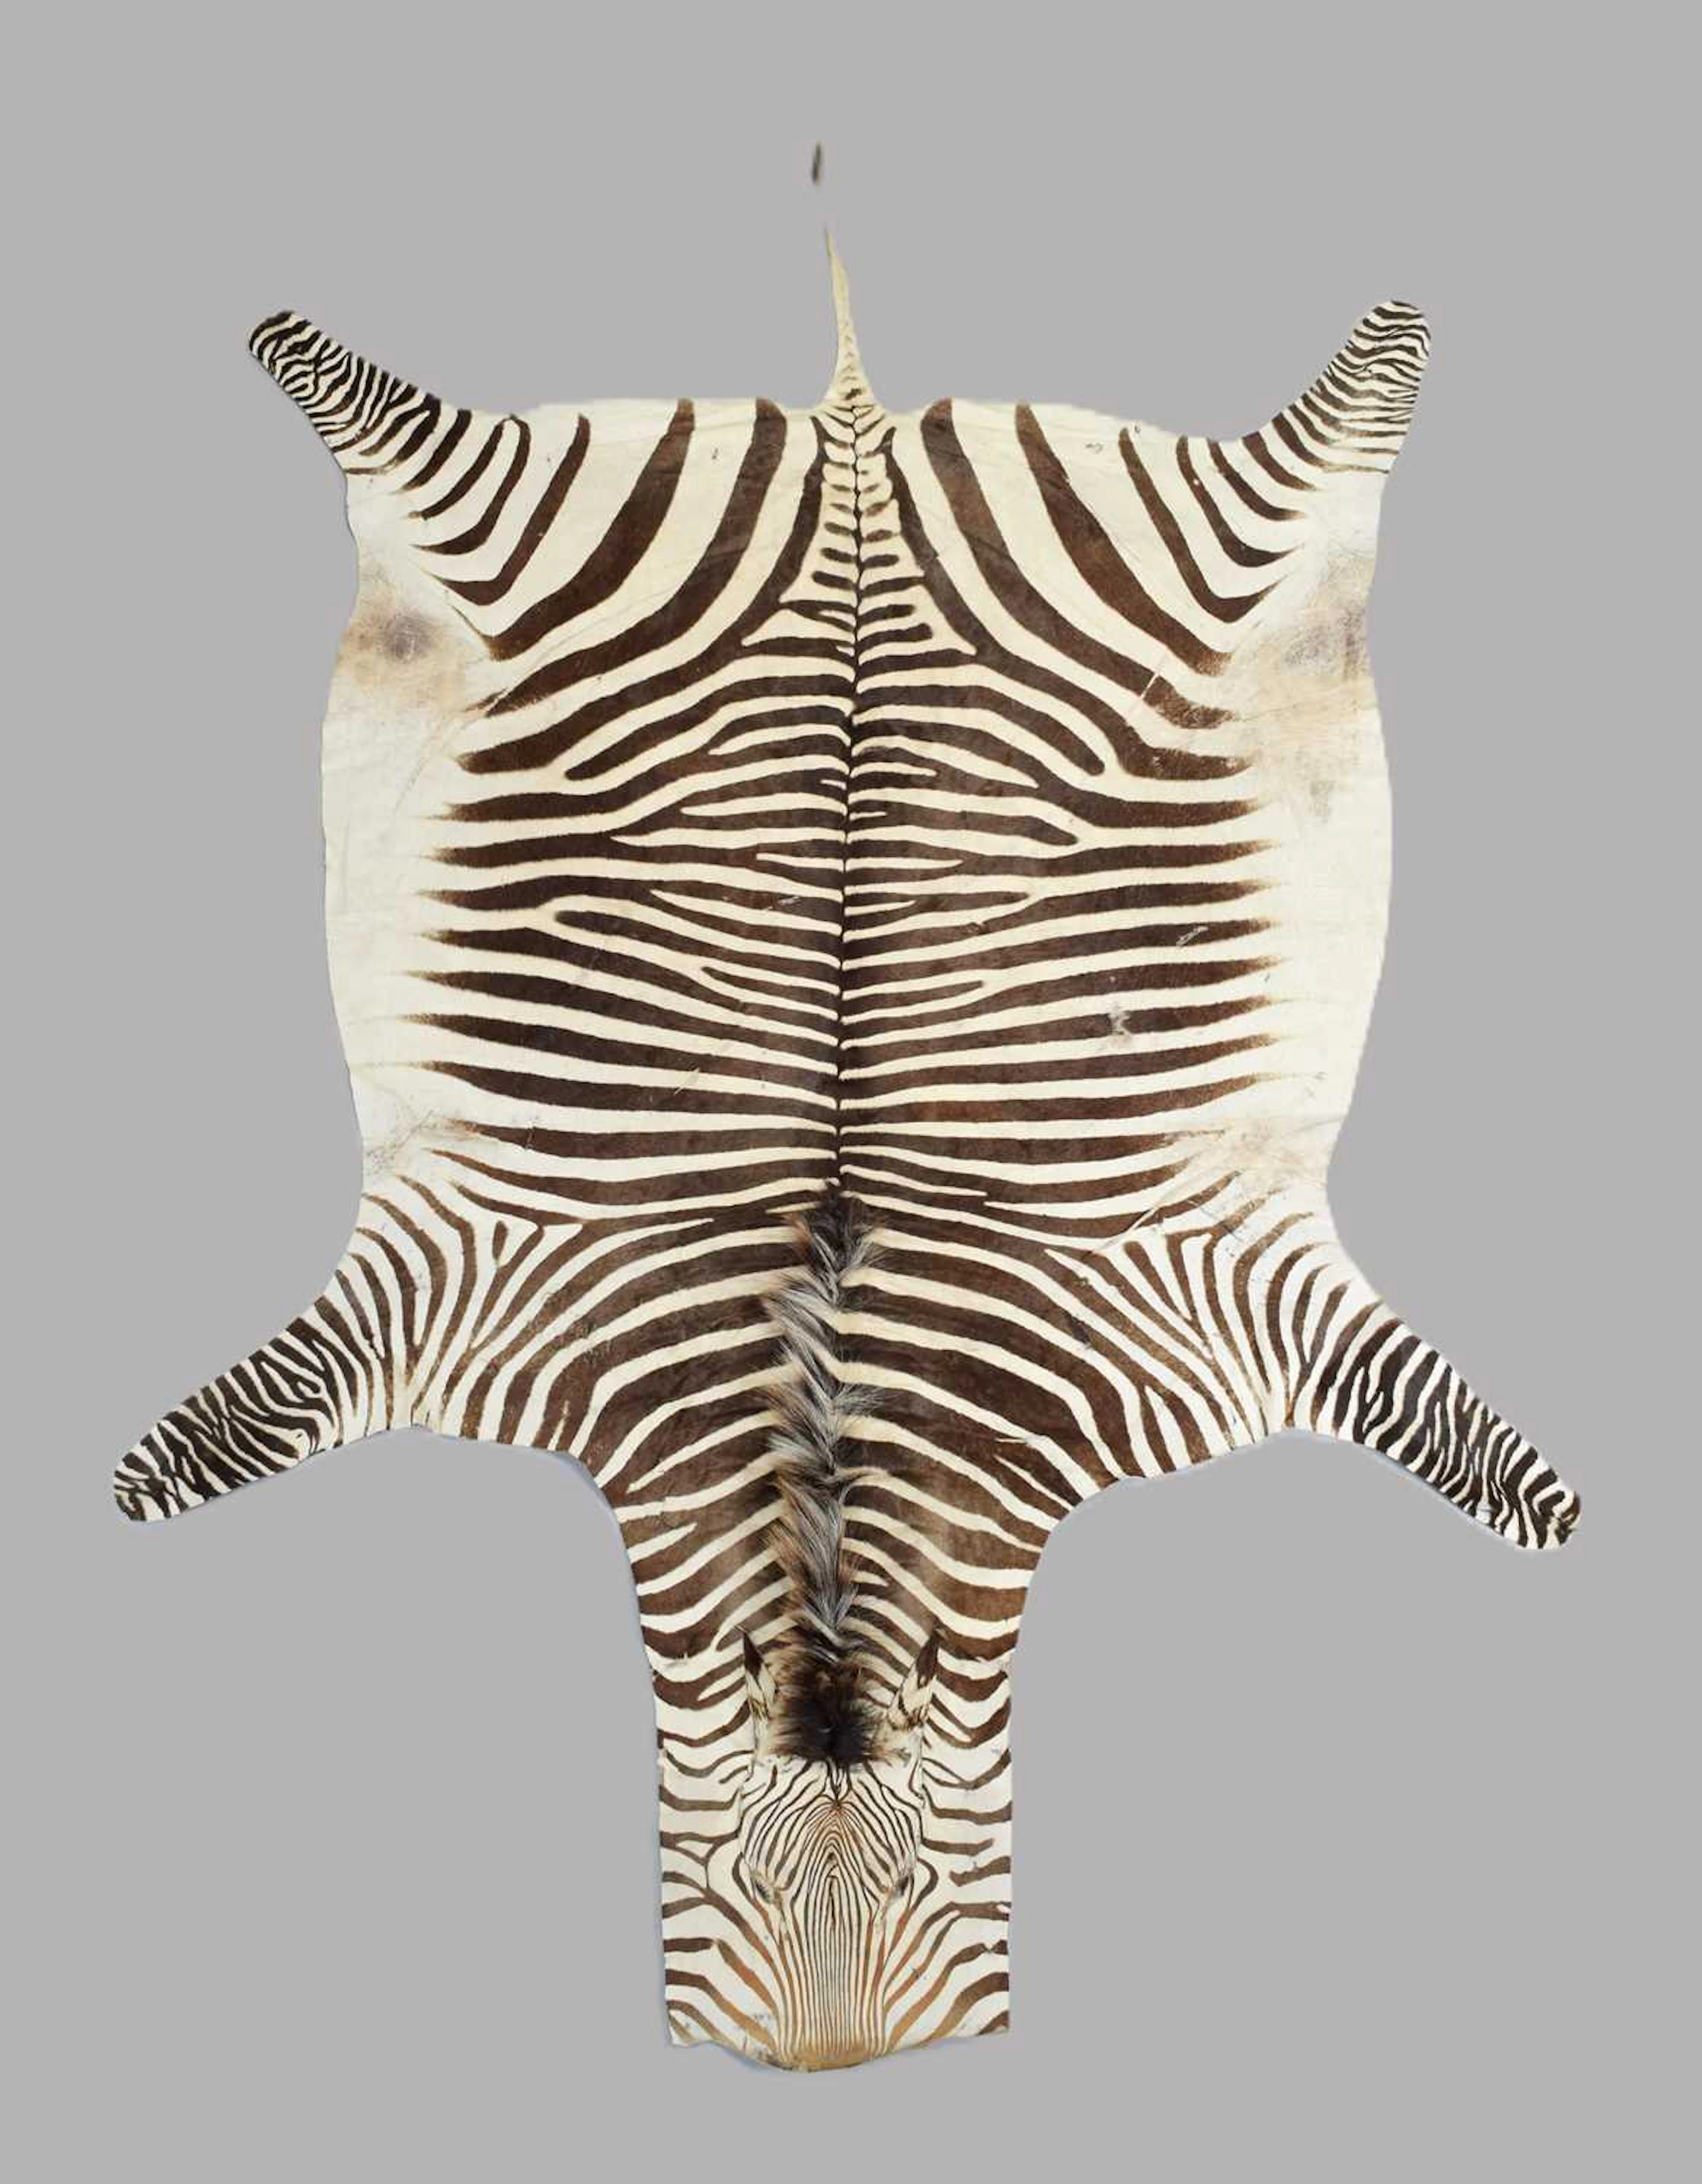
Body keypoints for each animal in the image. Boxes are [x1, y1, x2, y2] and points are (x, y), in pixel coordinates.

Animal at [116, 240, 1578, 2070]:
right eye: (722, 1875)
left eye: (933, 1874)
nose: (831, 2060)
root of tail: (853, 424)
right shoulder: (449, 1282)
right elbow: (235, 1423)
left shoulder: (1236, 1290)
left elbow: (1450, 1432)